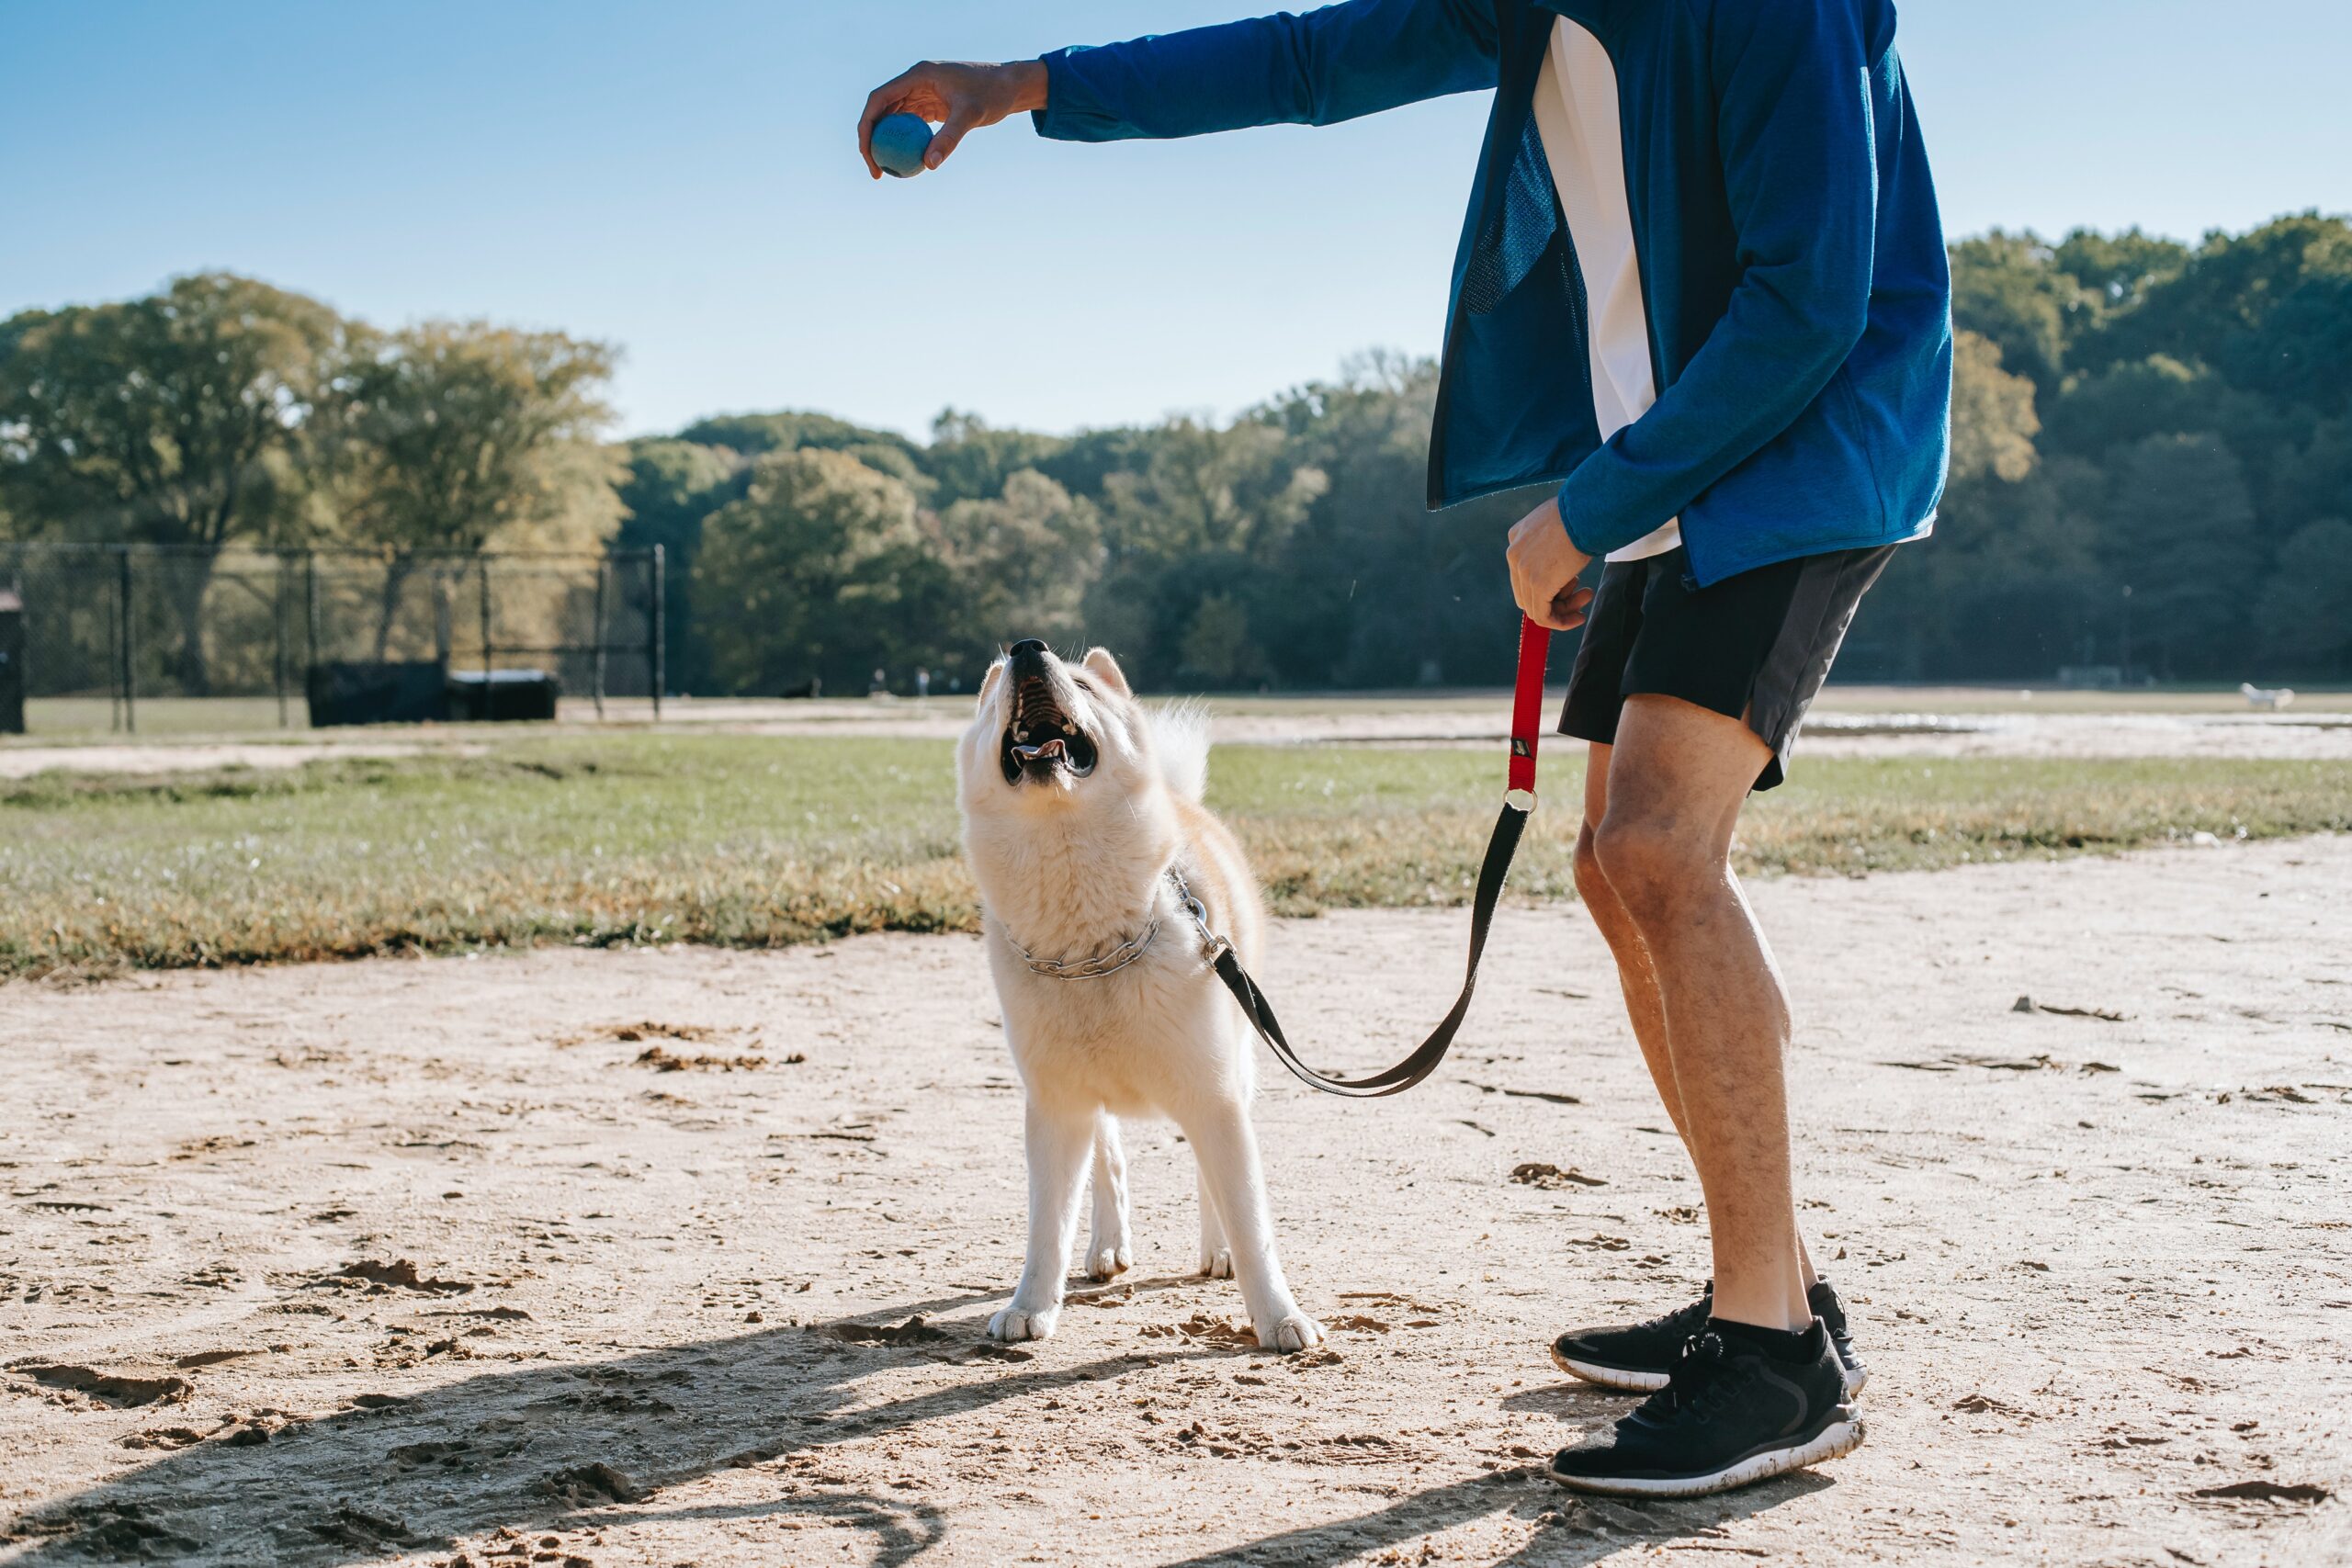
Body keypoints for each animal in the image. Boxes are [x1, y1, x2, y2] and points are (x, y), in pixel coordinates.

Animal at [955, 639, 1326, 1354]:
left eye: (1079, 683)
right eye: (997, 689)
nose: (1027, 649)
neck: (1090, 950)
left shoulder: (1213, 1094)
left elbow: (1251, 1222)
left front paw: (1277, 1315)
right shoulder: (1056, 1106)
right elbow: (1048, 1224)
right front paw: (1032, 1305)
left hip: (1235, 1069)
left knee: (1210, 1182)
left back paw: (1216, 1251)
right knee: (1109, 1163)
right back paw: (1106, 1245)